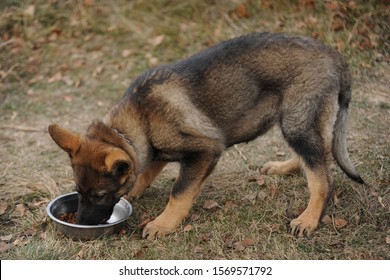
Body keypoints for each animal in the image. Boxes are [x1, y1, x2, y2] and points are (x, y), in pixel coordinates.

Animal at [48, 32, 362, 238]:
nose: (82, 223)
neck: (138, 120)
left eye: (100, 195)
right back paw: (284, 168)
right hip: (296, 123)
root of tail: (334, 56)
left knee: (322, 177)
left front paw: (163, 224)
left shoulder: (205, 150)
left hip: (298, 122)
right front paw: (136, 189)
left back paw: (308, 218)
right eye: (78, 192)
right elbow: (145, 171)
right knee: (316, 156)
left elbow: (179, 192)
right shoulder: (157, 150)